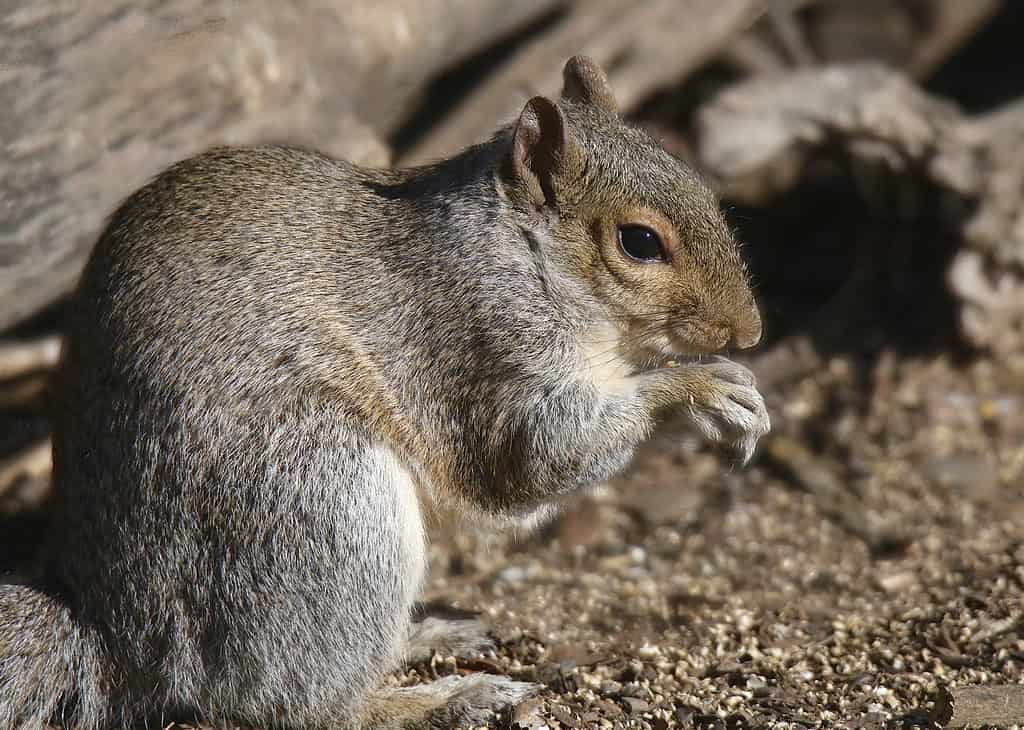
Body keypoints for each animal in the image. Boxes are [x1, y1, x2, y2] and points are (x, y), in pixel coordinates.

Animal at [0, 58, 770, 728]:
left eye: (703, 189)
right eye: (639, 242)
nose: (750, 330)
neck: (519, 254)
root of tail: (118, 634)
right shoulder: (475, 347)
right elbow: (537, 458)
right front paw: (699, 387)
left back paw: (430, 636)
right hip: (322, 505)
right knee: (304, 703)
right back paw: (440, 701)